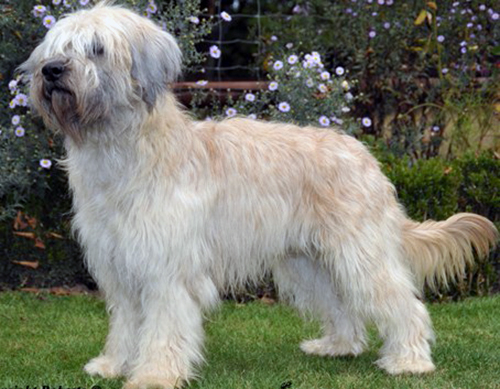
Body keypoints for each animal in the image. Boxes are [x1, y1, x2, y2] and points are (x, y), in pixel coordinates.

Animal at [20, 3, 496, 388]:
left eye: (96, 48)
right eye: (57, 47)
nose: (52, 71)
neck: (124, 151)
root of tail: (364, 155)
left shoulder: (167, 268)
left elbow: (162, 327)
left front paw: (154, 374)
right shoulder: (118, 263)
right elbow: (125, 323)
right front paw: (114, 364)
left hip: (358, 253)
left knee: (401, 303)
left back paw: (409, 361)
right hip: (307, 262)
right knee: (343, 306)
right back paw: (338, 346)